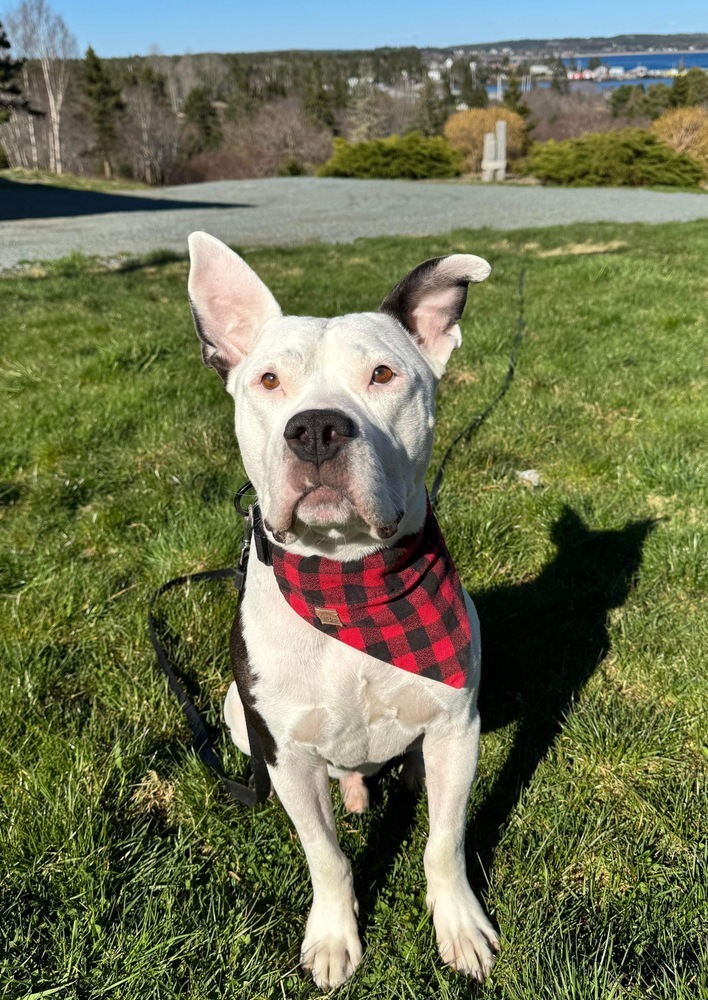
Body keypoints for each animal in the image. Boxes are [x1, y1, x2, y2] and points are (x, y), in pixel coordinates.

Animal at [185, 234, 500, 992]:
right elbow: (326, 857)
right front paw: (334, 937)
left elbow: (445, 841)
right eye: (269, 380)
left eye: (383, 373)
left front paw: (459, 926)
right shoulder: (288, 759)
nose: (317, 429)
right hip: (239, 716)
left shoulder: (457, 731)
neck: (351, 580)